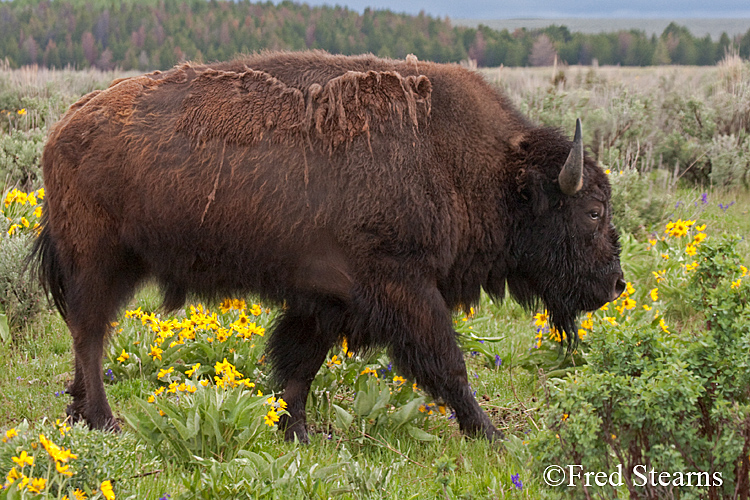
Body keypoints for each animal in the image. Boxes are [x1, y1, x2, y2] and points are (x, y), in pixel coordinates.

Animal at [32, 50, 624, 442]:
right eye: (593, 211)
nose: (616, 284)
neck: (475, 169)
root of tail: (65, 124)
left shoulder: (325, 299)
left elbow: (298, 365)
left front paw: (296, 432)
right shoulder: (402, 286)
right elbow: (449, 363)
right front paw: (491, 434)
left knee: (87, 335)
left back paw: (81, 413)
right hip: (100, 263)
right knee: (90, 334)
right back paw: (104, 419)